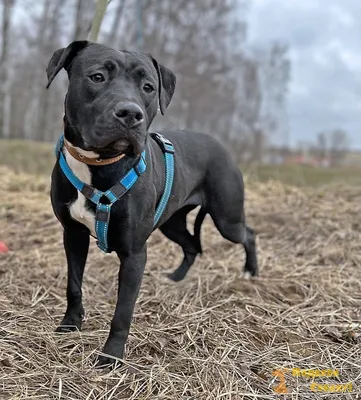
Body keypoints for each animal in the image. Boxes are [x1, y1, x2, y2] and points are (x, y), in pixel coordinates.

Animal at [46, 40, 258, 368]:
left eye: (148, 87)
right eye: (97, 77)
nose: (130, 113)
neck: (99, 164)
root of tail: (221, 146)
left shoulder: (134, 254)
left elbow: (123, 311)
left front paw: (111, 356)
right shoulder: (74, 235)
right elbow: (74, 285)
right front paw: (71, 324)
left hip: (227, 218)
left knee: (248, 234)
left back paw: (250, 271)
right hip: (172, 223)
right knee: (192, 245)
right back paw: (176, 279)